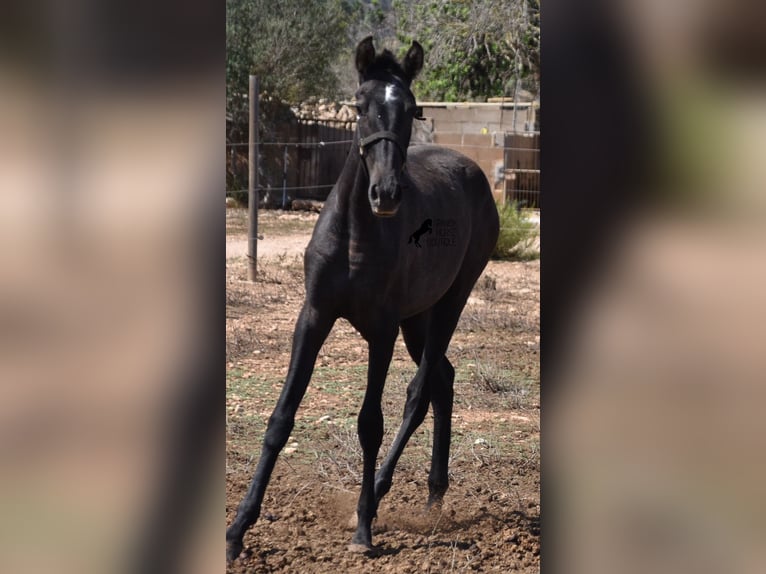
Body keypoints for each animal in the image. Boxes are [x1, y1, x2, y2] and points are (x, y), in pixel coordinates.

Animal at [226, 37, 504, 564]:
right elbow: (280, 418)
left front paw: (362, 529)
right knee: (443, 379)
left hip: (449, 303)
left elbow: (370, 422)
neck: (355, 234)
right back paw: (433, 495)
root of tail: (474, 171)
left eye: (412, 109)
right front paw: (236, 531)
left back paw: (378, 494)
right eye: (359, 106)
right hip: (419, 318)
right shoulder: (314, 317)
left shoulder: (381, 330)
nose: (386, 193)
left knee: (419, 393)